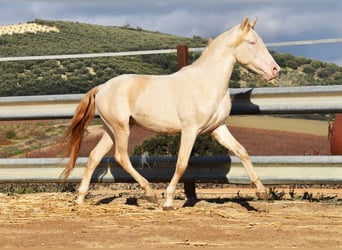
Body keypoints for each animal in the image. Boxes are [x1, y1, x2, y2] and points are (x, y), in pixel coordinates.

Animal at [62, 16, 280, 210]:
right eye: (252, 42)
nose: (275, 70)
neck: (206, 83)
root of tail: (102, 88)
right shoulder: (190, 130)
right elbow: (182, 164)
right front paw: (168, 201)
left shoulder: (217, 129)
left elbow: (242, 151)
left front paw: (262, 192)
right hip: (121, 128)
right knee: (121, 157)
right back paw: (150, 194)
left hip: (110, 130)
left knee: (94, 156)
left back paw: (79, 200)